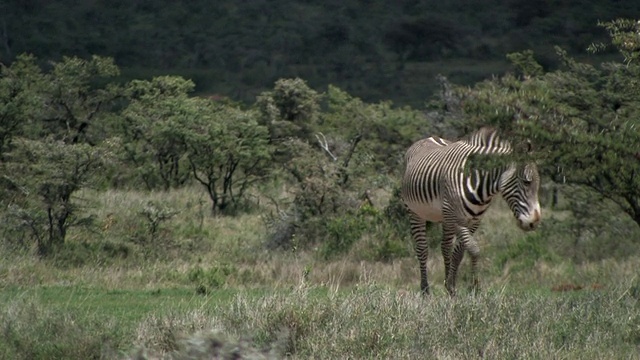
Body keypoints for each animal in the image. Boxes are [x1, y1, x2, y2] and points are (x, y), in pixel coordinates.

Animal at [402, 128, 544, 296]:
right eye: (526, 182)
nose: (534, 222)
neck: (480, 186)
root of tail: (430, 137)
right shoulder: (455, 218)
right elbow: (474, 250)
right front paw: (474, 287)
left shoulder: (474, 221)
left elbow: (459, 253)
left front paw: (451, 286)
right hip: (414, 212)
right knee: (422, 248)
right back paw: (425, 290)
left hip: (444, 217)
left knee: (445, 247)